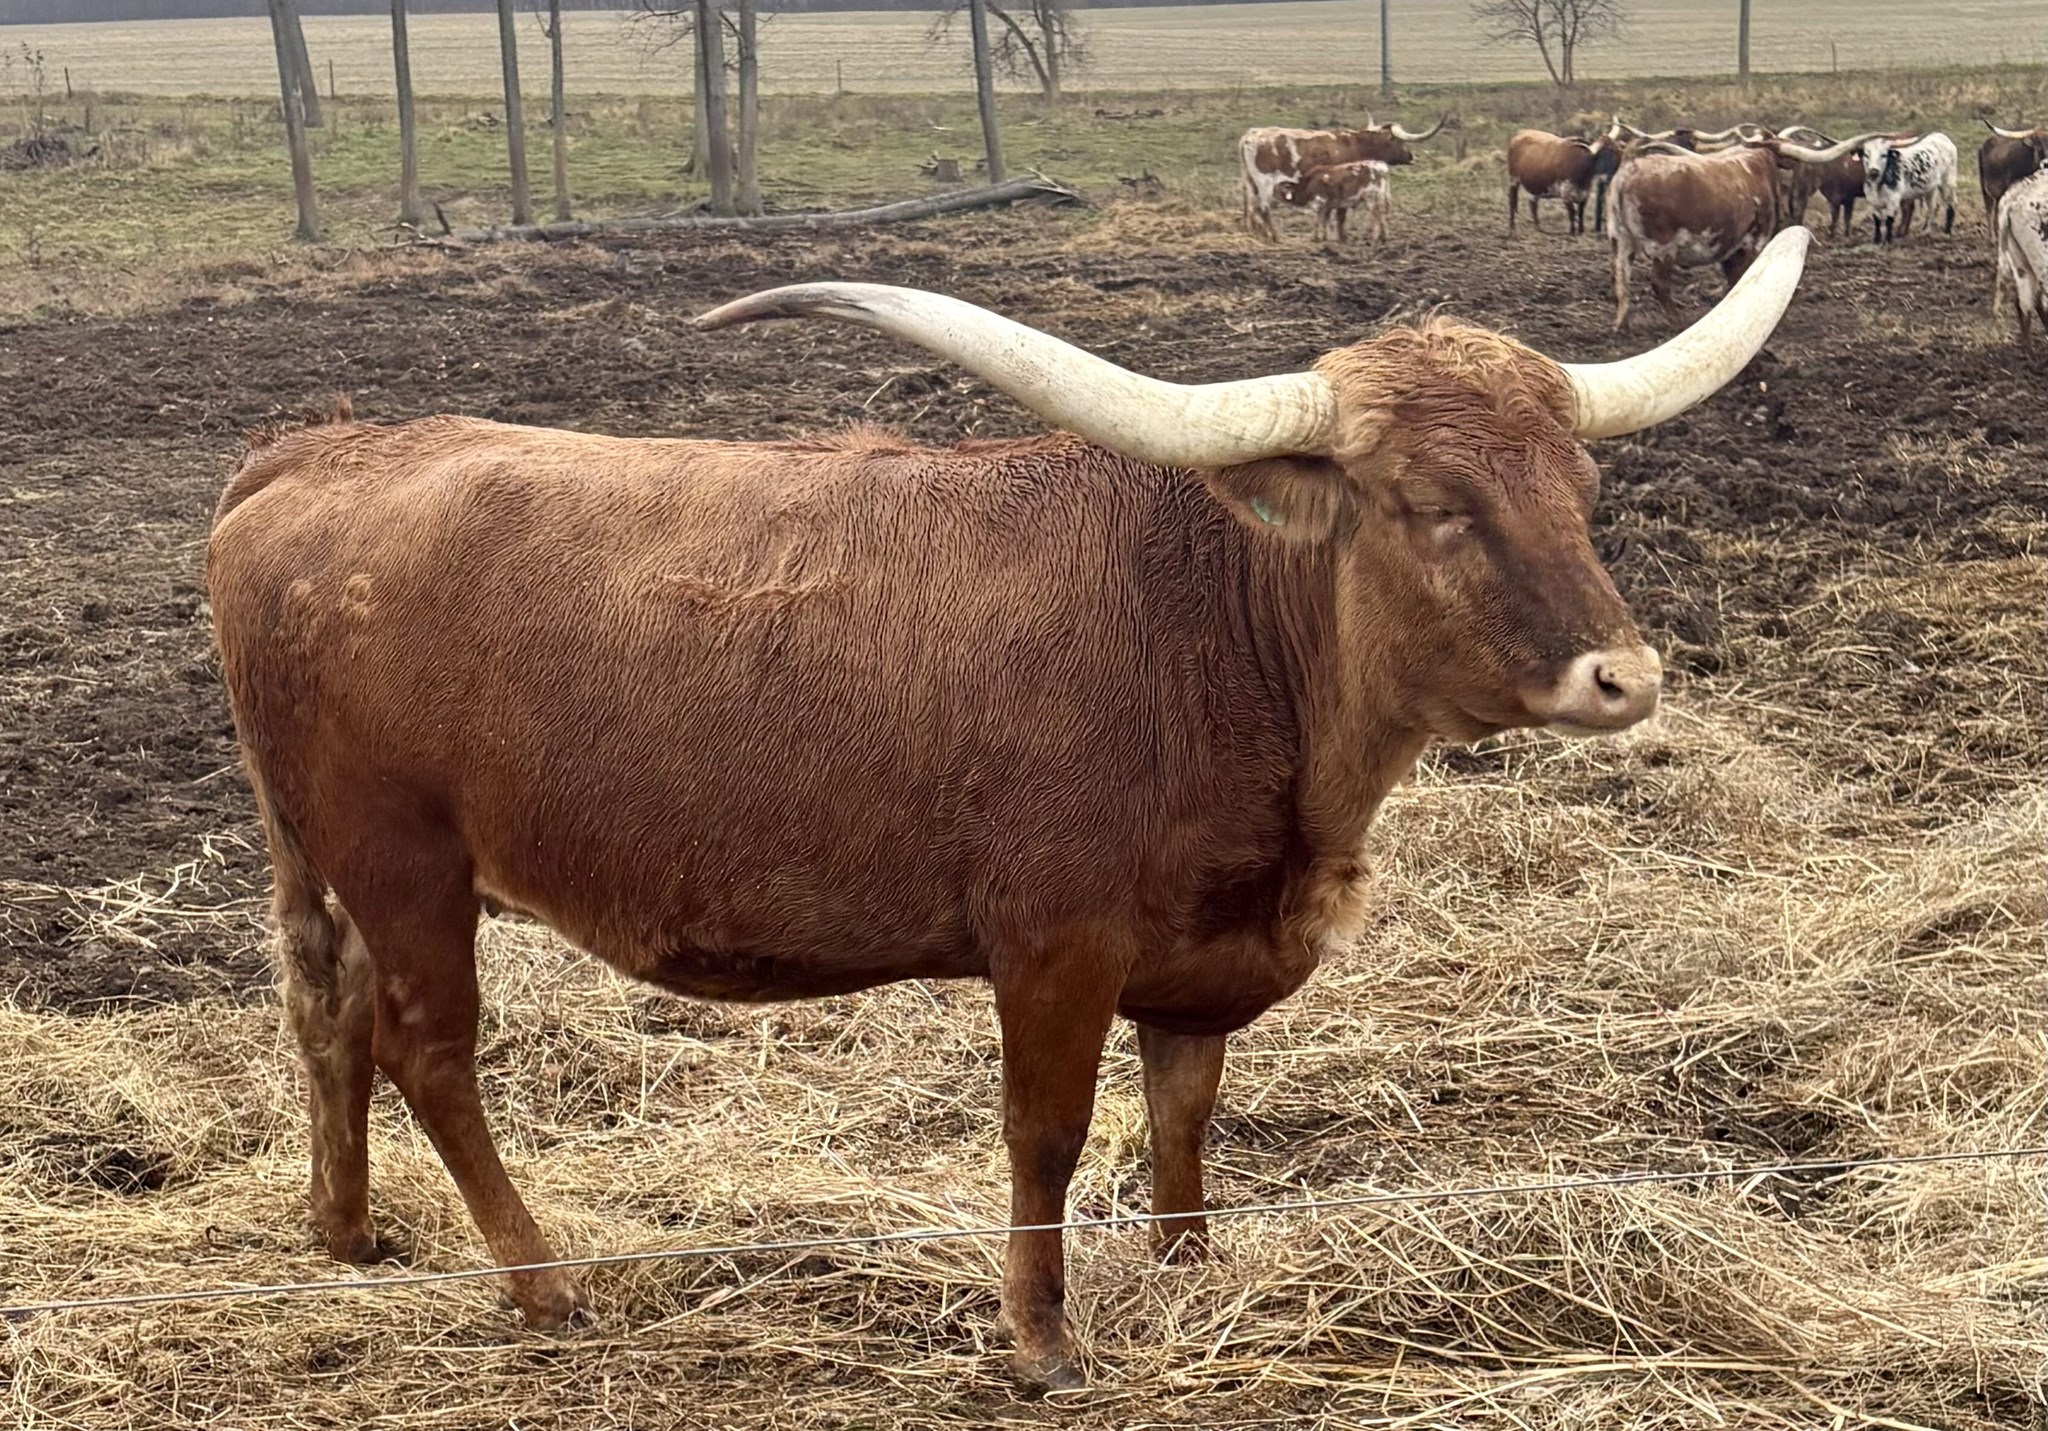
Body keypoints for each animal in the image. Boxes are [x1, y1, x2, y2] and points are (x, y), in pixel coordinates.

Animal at [206, 229, 1812, 1391]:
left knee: (328, 1016)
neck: (1214, 624)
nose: (1623, 676)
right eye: (1431, 506)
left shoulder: (1195, 956)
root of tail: (320, 450)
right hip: (405, 859)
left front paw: (1189, 1272)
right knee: (427, 1050)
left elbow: (1182, 1113)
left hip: (326, 863)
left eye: (1582, 484)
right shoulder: (1054, 944)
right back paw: (540, 1282)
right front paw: (1041, 1341)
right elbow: (1047, 1131)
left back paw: (345, 1233)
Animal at [1240, 114, 1446, 240]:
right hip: (1265, 183)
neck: (1355, 144)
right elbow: (1340, 215)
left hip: (1250, 183)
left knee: (1250, 208)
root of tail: (1250, 136)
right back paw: (1273, 236)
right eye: (1399, 141)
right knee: (1264, 208)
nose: (1411, 156)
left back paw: (1256, 234)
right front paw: (1341, 236)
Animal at [1606, 144, 1784, 329]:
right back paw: (1677, 321)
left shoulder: (1731, 248)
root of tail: (1630, 167)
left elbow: (1734, 278)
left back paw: (1621, 323)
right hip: (1663, 246)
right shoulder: (1755, 241)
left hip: (1620, 239)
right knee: (1658, 281)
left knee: (1621, 279)